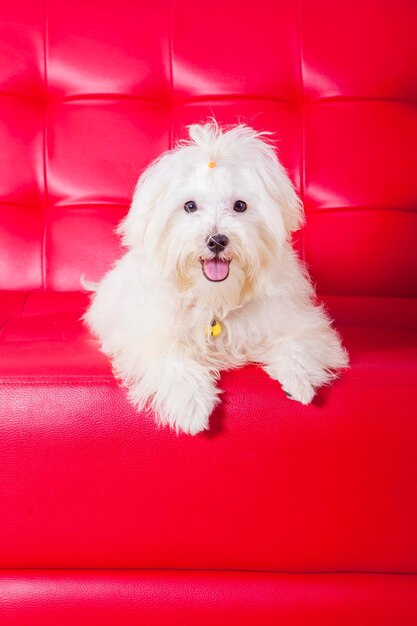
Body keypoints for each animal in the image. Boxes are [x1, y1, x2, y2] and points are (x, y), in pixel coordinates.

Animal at [83, 122, 346, 434]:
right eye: (190, 206)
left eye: (240, 206)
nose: (217, 240)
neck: (216, 297)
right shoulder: (148, 336)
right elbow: (173, 360)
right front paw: (192, 407)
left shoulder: (297, 319)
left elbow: (297, 342)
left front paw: (300, 381)